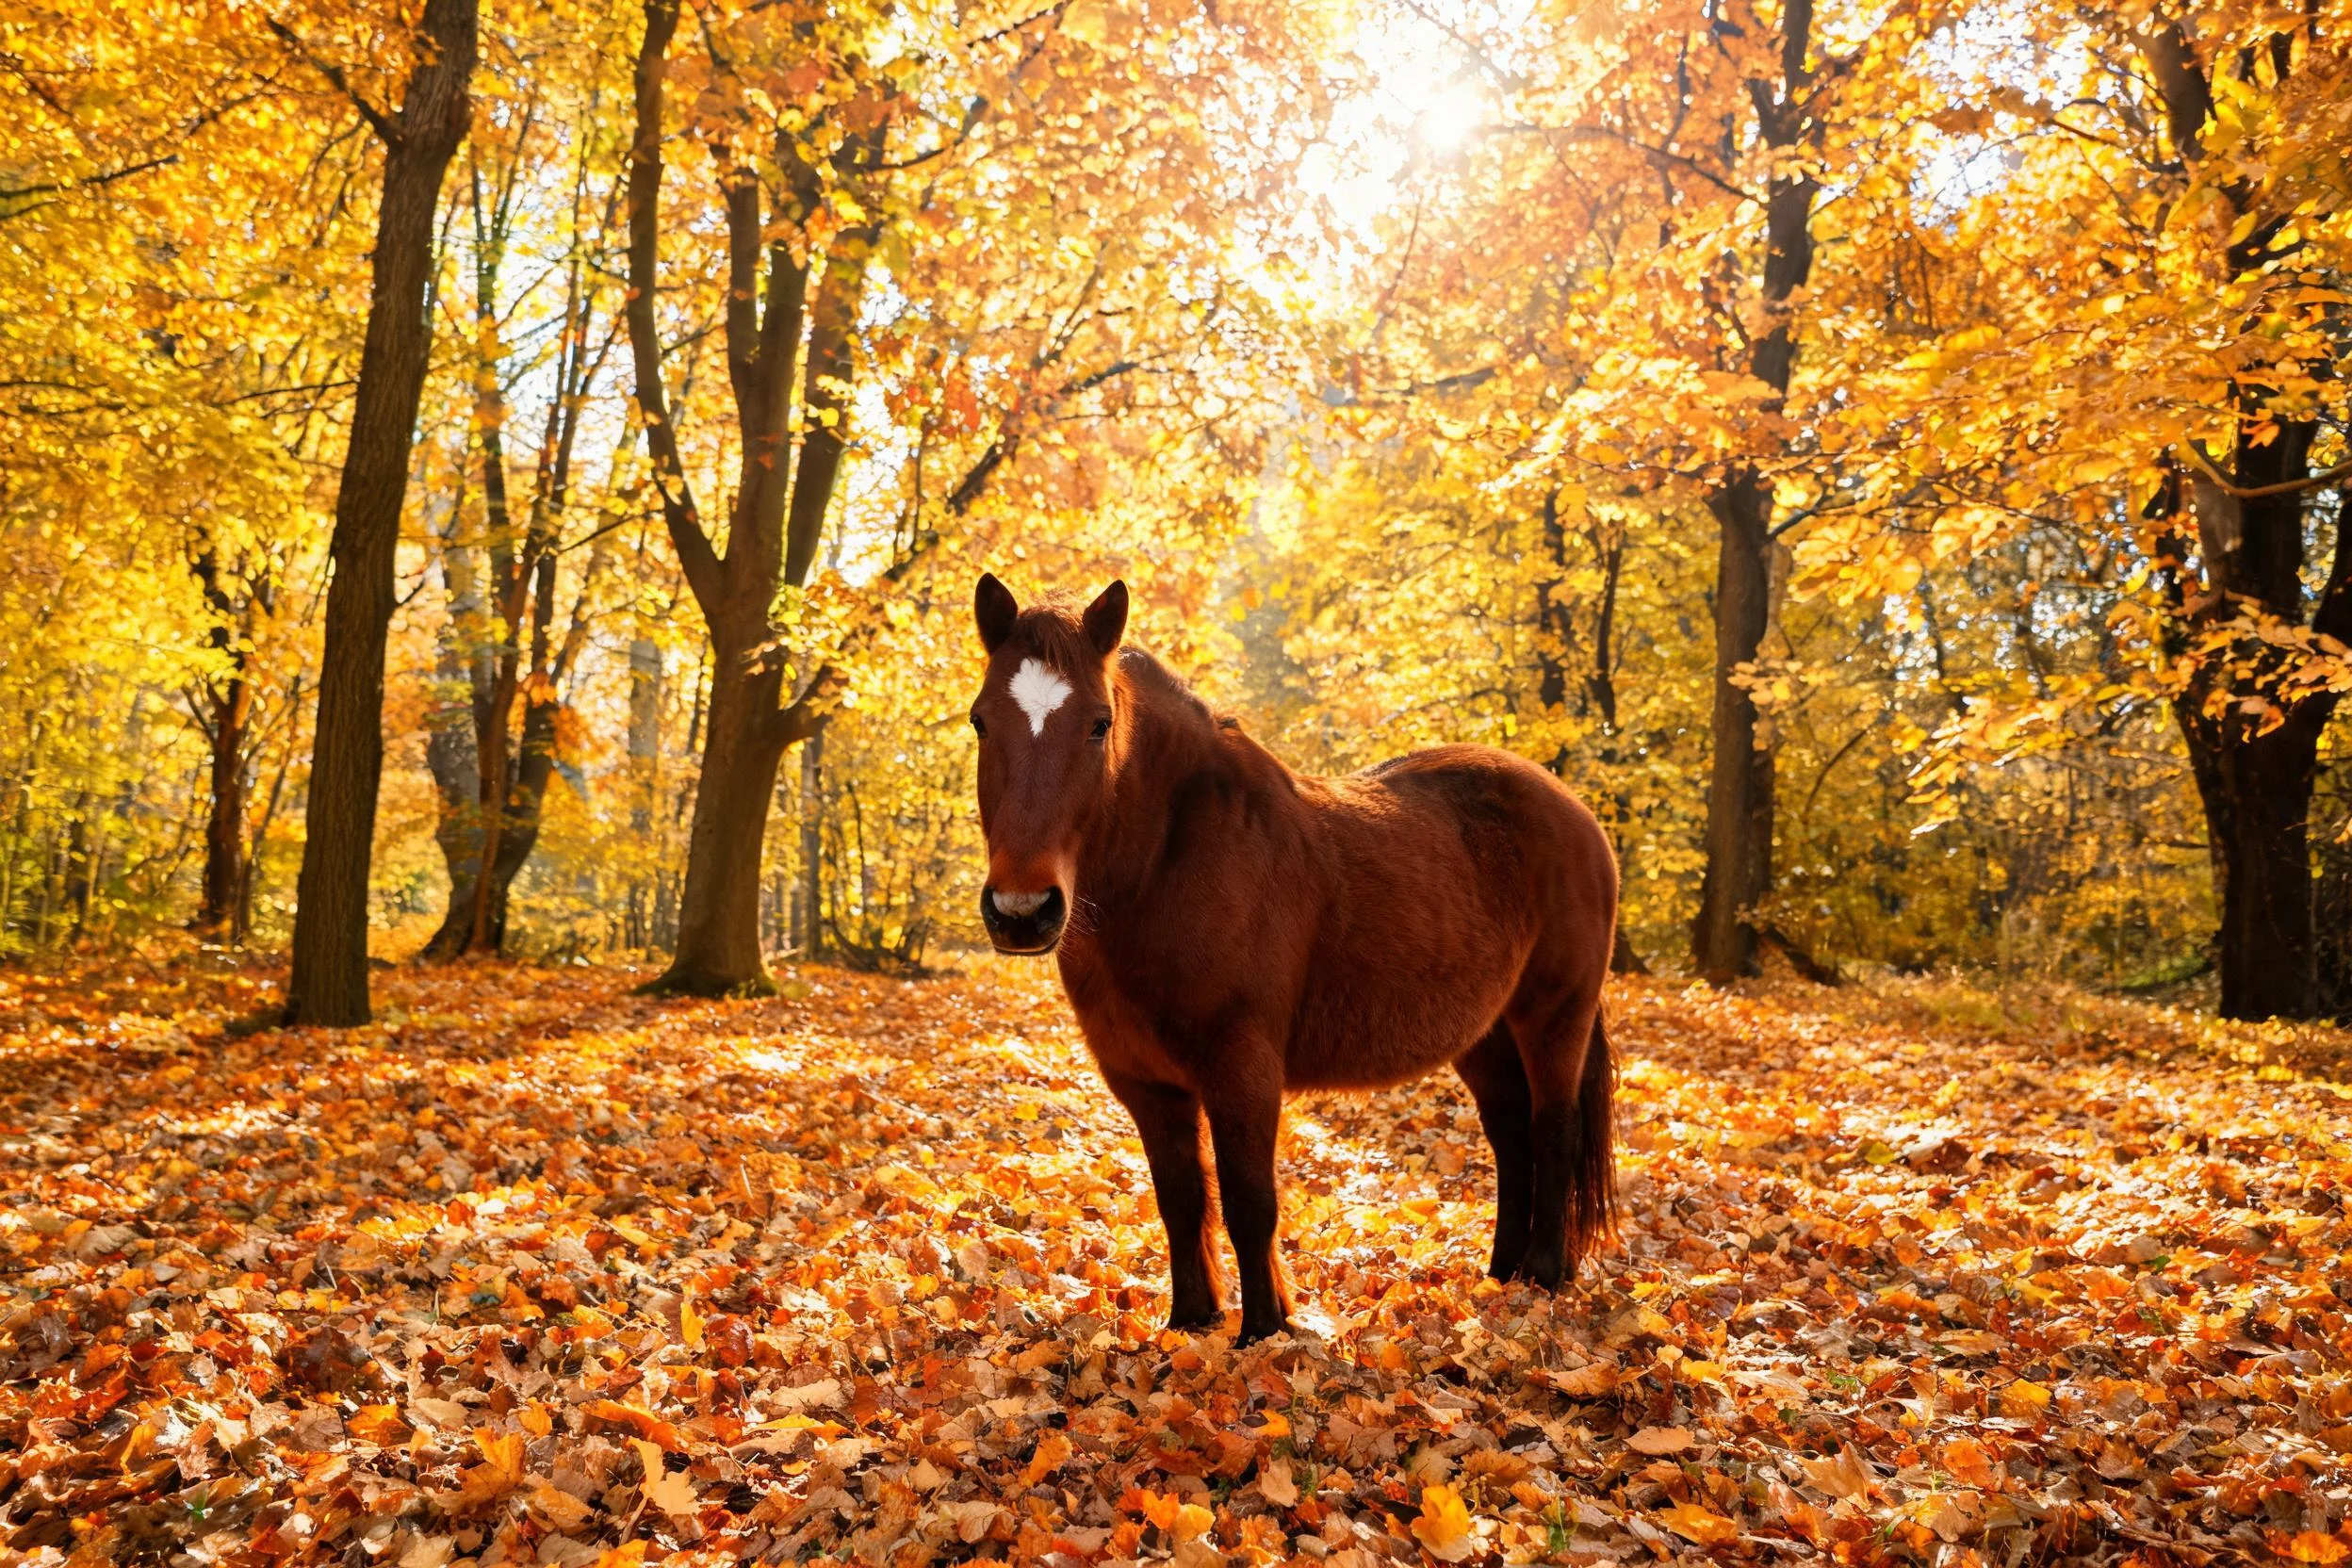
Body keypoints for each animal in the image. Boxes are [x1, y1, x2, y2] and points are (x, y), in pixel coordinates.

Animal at [968, 574, 1619, 1343]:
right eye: (981, 722)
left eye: (1099, 723)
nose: (1021, 910)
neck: (1169, 865)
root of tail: (1576, 811)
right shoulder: (1145, 1083)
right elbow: (1181, 1198)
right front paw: (1191, 1322)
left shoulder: (1242, 1069)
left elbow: (1250, 1200)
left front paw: (1264, 1331)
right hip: (1484, 1034)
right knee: (1512, 1135)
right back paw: (1502, 1273)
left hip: (1553, 1015)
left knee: (1554, 1129)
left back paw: (1544, 1276)